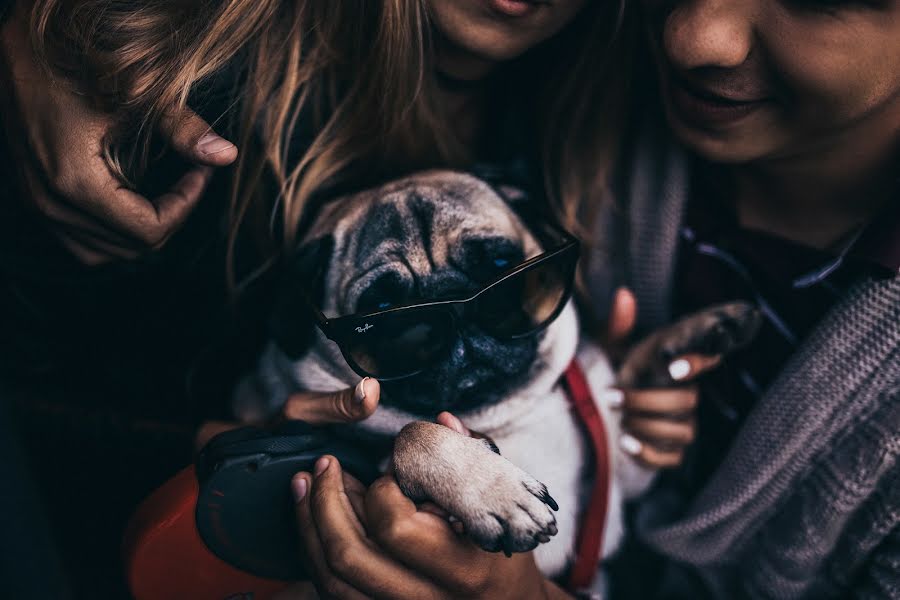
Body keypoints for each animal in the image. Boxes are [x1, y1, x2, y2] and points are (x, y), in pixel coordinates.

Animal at [234, 168, 760, 576]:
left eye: (503, 268)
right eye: (383, 313)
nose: (456, 309)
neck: (501, 419)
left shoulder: (618, 480)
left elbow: (634, 374)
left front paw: (700, 330)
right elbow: (412, 432)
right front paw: (489, 488)